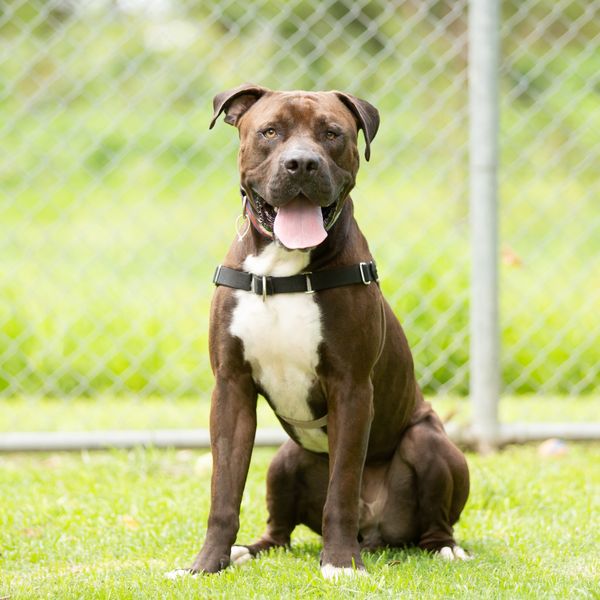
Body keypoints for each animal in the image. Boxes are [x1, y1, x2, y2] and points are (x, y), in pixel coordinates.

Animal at [169, 84, 470, 580]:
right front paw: (207, 565)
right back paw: (247, 550)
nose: (302, 163)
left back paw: (444, 548)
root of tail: (377, 531)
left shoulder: (351, 387)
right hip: (284, 461)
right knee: (279, 533)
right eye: (270, 131)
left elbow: (342, 488)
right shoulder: (231, 388)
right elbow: (223, 491)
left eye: (332, 133)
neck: (282, 267)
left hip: (428, 442)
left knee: (434, 521)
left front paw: (341, 563)